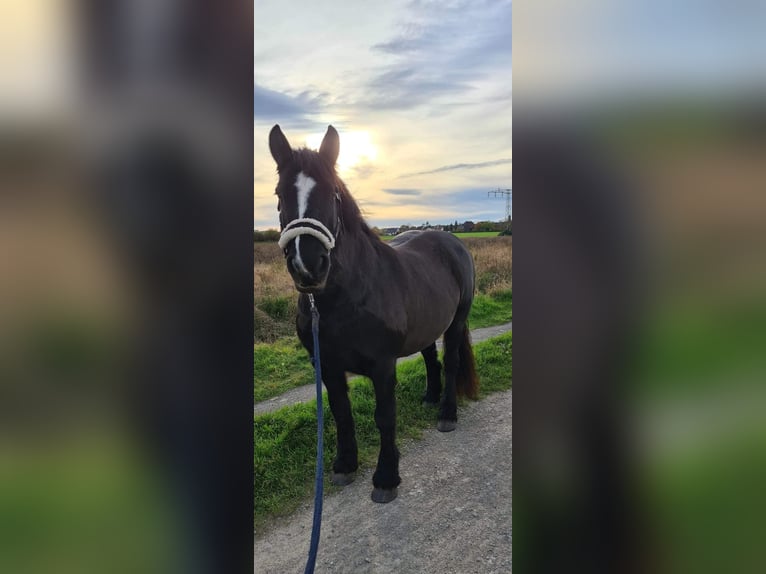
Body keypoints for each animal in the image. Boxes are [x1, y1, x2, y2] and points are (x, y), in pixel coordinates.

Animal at [270, 125, 480, 504]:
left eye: (333, 192)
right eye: (280, 193)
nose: (308, 266)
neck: (344, 300)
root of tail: (452, 241)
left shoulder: (382, 366)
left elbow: (384, 417)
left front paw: (385, 478)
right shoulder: (327, 366)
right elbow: (341, 413)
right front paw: (344, 465)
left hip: (455, 323)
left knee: (451, 361)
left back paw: (446, 413)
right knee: (431, 358)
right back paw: (429, 398)